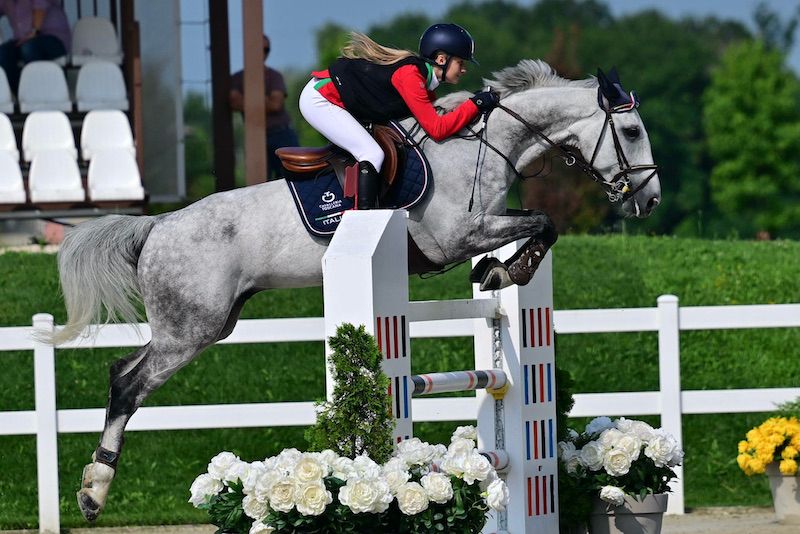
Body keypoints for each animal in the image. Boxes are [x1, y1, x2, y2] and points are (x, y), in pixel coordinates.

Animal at [49, 59, 660, 521]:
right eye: (631, 132)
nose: (649, 201)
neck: (482, 144)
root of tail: (157, 226)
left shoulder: (483, 224)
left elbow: (538, 224)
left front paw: (499, 271)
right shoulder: (457, 235)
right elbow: (542, 222)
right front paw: (508, 270)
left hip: (207, 324)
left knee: (121, 371)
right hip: (189, 330)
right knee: (128, 385)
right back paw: (94, 490)